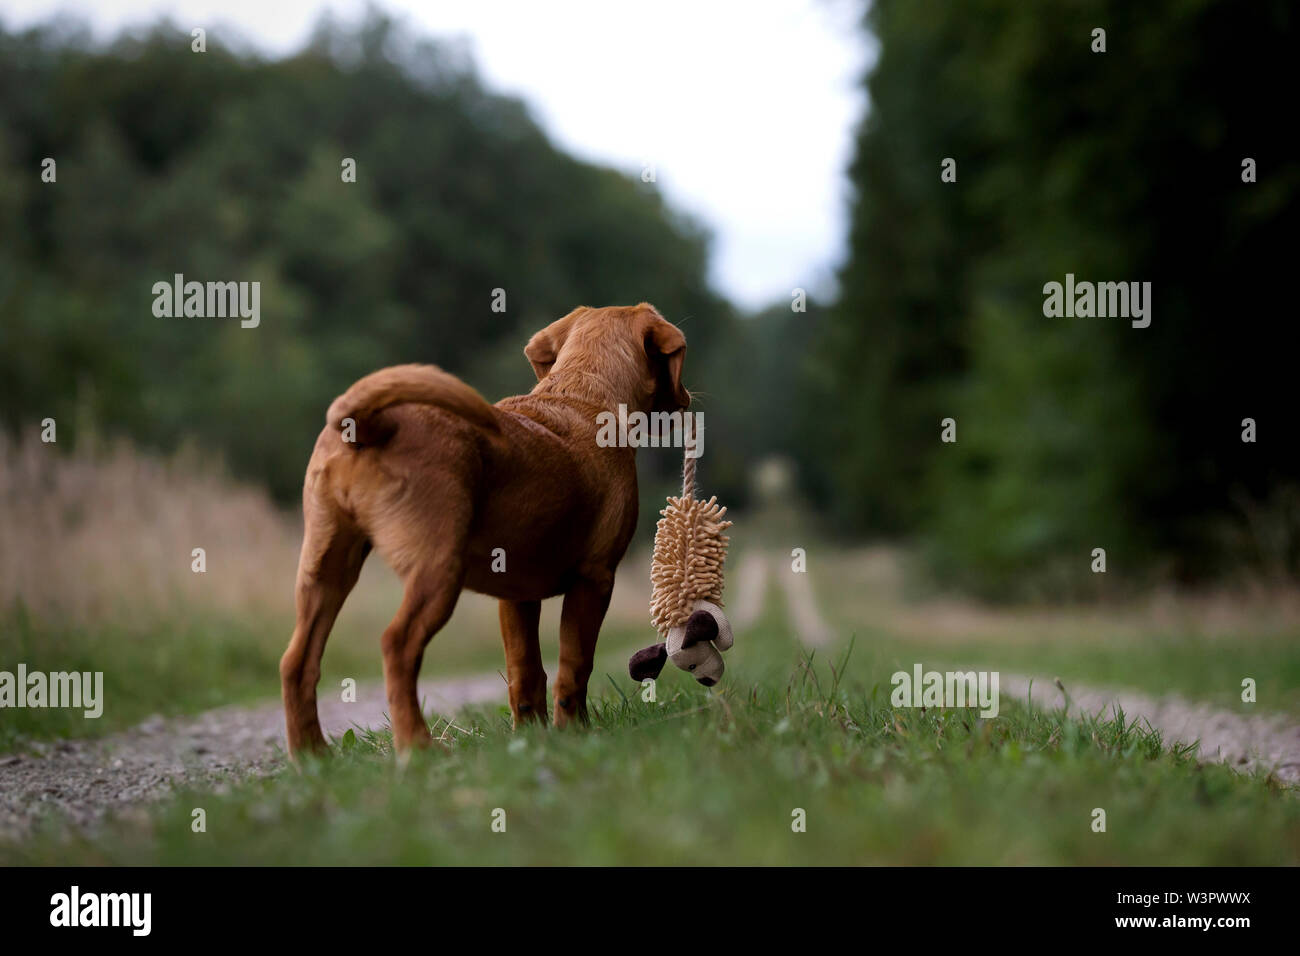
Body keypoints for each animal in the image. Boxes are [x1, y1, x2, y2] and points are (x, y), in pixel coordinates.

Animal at [276, 303, 691, 759]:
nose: (687, 402)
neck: (582, 394)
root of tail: (372, 423)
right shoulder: (595, 579)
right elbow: (574, 666)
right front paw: (575, 733)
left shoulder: (516, 594)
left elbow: (526, 672)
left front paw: (533, 737)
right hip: (436, 572)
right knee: (397, 645)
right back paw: (417, 749)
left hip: (324, 570)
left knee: (297, 662)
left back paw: (313, 756)